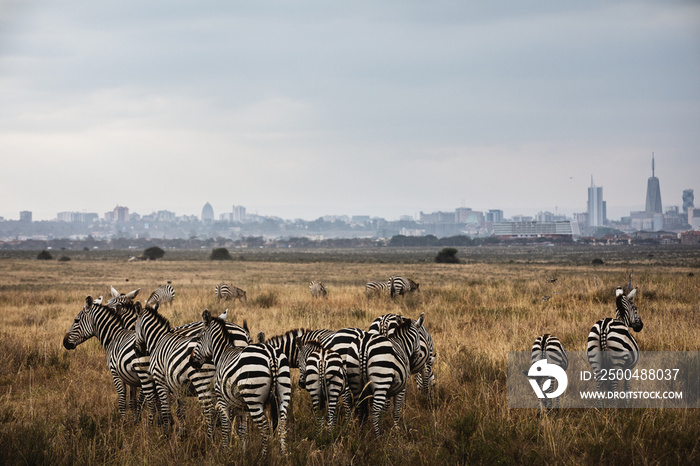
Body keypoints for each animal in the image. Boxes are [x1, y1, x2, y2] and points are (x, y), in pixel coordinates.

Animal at [63, 296, 156, 424]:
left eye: (76, 320)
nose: (64, 342)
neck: (113, 337)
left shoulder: (115, 373)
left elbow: (122, 401)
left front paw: (123, 424)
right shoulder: (130, 377)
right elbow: (132, 402)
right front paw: (135, 422)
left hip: (145, 374)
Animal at [190, 310, 292, 456]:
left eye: (198, 338)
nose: (191, 361)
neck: (222, 353)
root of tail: (271, 354)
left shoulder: (222, 399)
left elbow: (226, 427)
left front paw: (225, 452)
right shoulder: (242, 405)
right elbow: (242, 430)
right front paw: (242, 453)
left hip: (254, 399)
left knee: (265, 428)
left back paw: (263, 457)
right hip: (284, 393)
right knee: (282, 425)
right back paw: (284, 455)